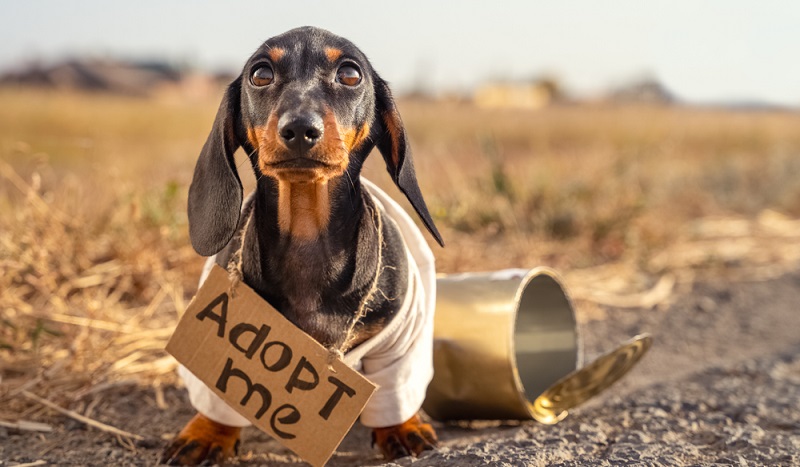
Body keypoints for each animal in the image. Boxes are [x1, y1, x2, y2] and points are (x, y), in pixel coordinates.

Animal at [162, 27, 444, 466]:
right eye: (260, 73)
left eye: (350, 74)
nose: (299, 129)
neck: (307, 236)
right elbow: (215, 394)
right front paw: (207, 434)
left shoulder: (401, 342)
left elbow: (396, 391)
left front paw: (404, 428)